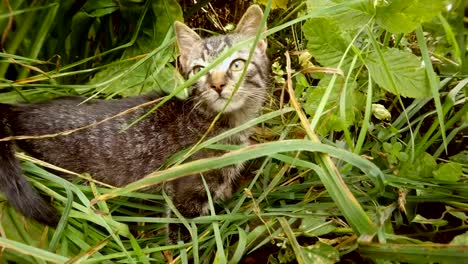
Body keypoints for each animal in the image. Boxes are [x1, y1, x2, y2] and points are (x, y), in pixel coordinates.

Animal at [0, 4, 268, 243]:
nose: (217, 84)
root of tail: (19, 108)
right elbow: (180, 241)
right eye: (199, 70)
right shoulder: (185, 196)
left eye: (237, 64)